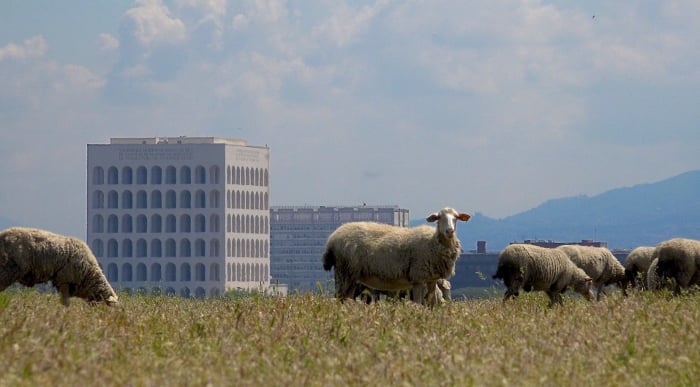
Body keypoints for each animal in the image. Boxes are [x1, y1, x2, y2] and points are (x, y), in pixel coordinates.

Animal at [322, 208, 470, 304]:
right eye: (439, 218)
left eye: (456, 218)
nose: (450, 231)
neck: (433, 241)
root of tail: (332, 238)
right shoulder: (417, 277)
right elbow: (418, 303)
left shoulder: (431, 279)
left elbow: (430, 303)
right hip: (344, 271)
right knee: (339, 298)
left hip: (352, 276)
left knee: (346, 299)